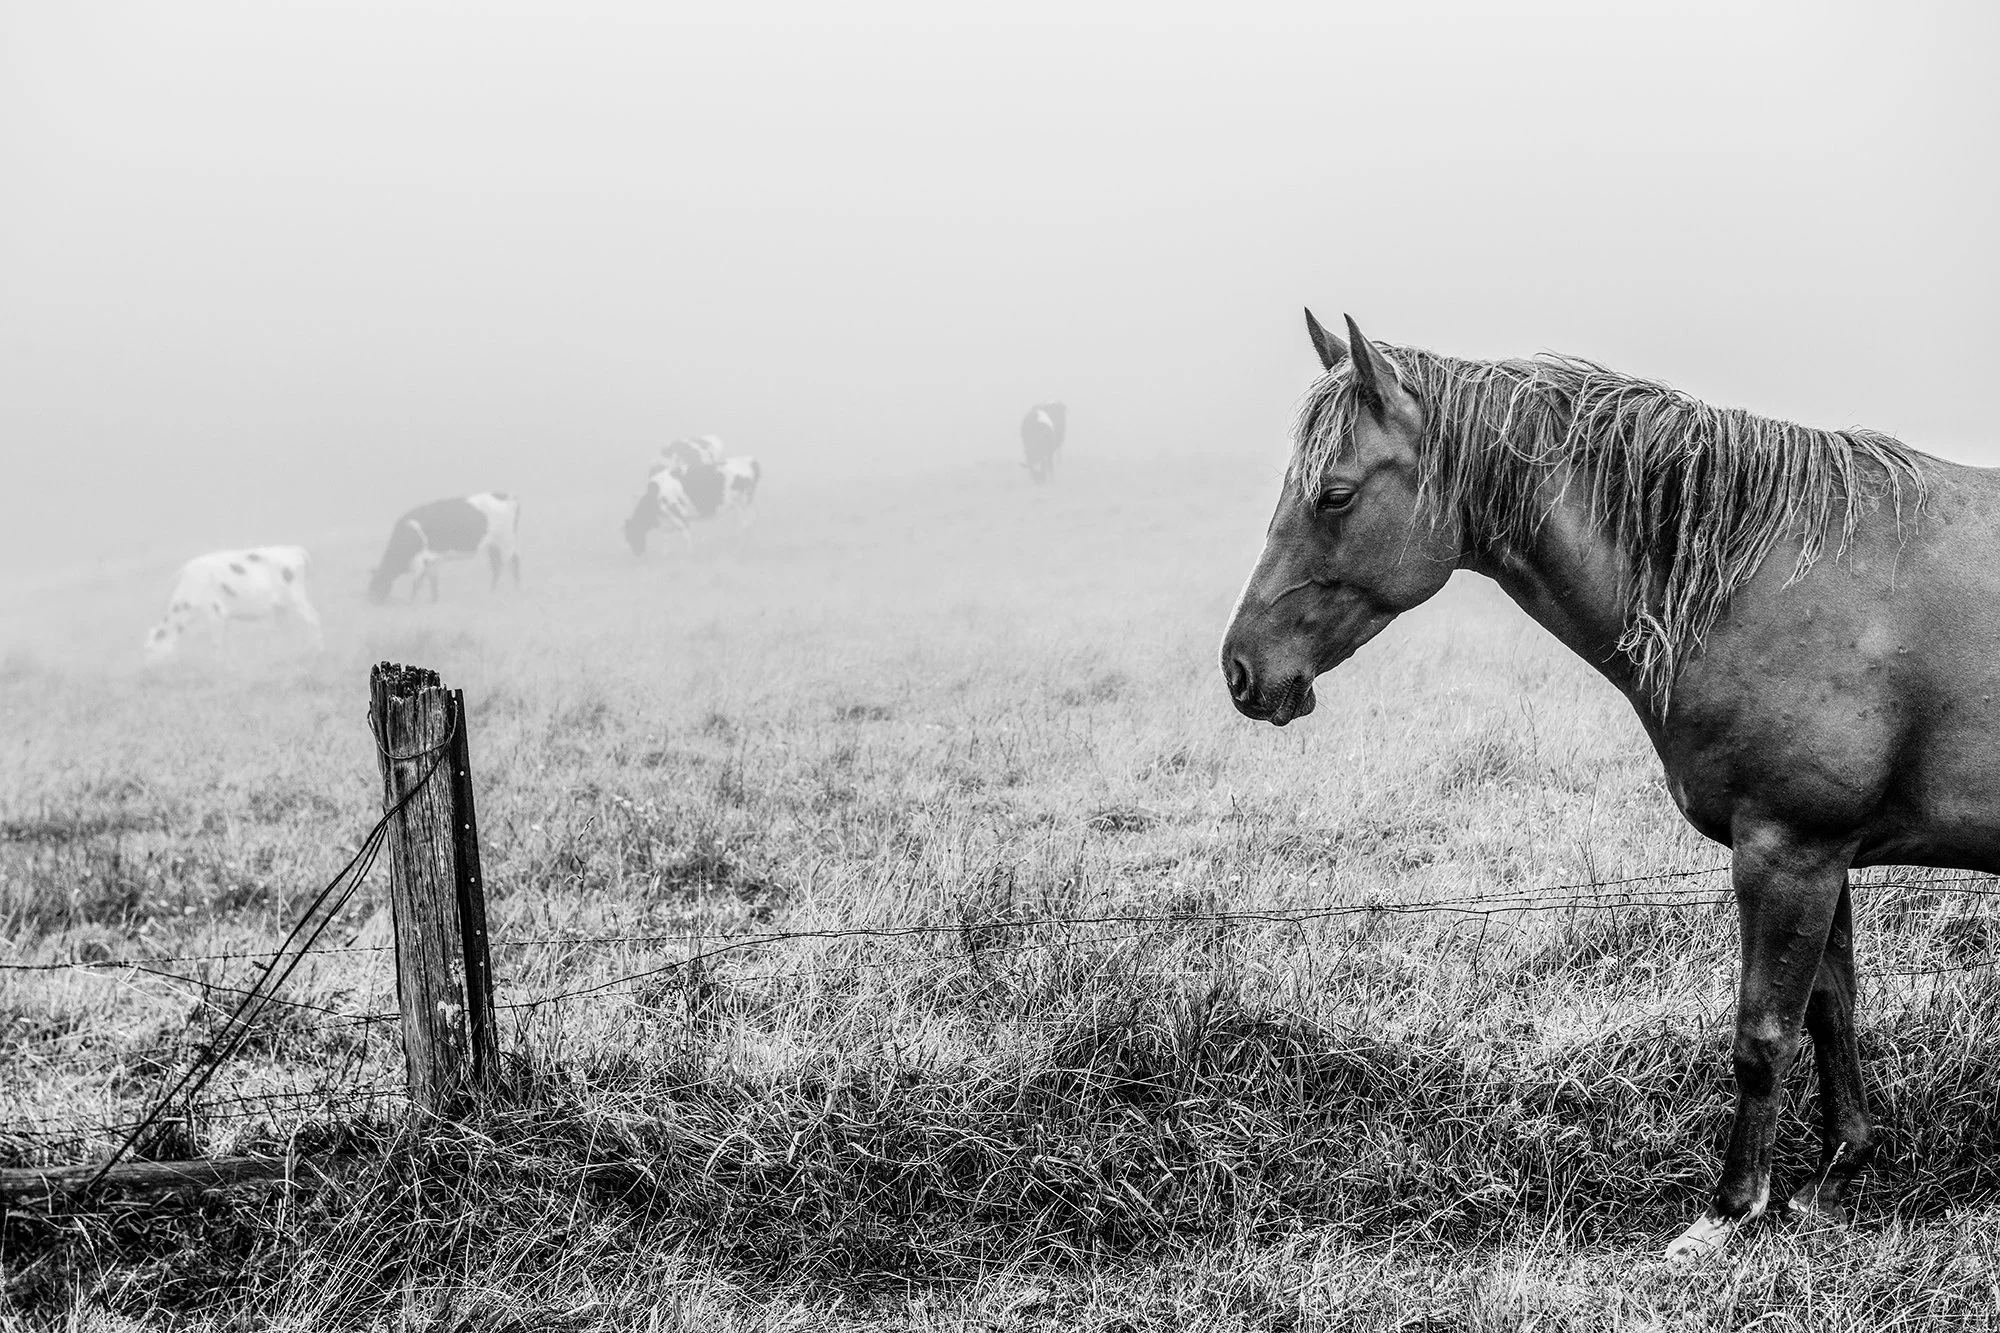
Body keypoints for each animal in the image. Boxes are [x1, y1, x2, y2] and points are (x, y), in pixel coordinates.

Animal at [1221, 308, 1996, 1261]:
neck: (1761, 577)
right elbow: (1831, 1011)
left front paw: (1728, 1209)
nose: (1242, 670)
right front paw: (1833, 1175)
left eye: (1333, 494)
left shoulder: (1789, 853)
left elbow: (1762, 1036)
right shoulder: (1825, 859)